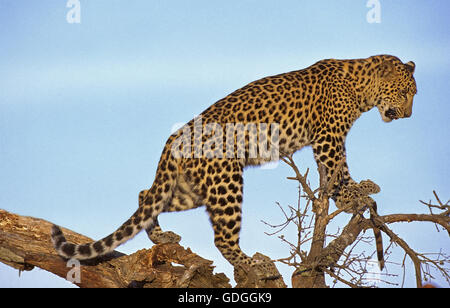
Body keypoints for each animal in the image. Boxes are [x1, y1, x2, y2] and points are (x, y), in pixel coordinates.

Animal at [51, 55, 416, 272]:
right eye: (404, 92)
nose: (409, 114)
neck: (362, 89)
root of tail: (174, 138)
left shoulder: (328, 138)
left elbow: (335, 173)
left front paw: (359, 192)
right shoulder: (328, 138)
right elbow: (338, 170)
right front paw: (354, 194)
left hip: (191, 188)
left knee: (145, 196)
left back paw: (163, 237)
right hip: (226, 182)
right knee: (222, 238)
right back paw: (252, 264)